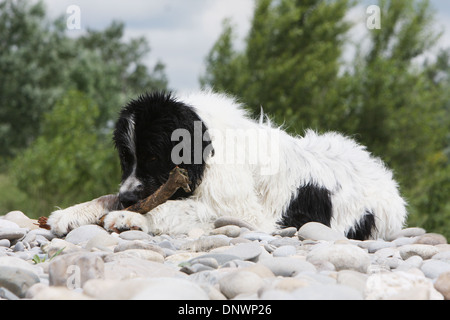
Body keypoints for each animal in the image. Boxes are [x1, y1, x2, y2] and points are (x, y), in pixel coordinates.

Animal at [49, 90, 408, 240]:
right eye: (127, 158)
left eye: (152, 157)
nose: (127, 199)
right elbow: (109, 197)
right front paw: (73, 212)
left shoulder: (247, 213)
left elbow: (176, 208)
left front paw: (130, 217)